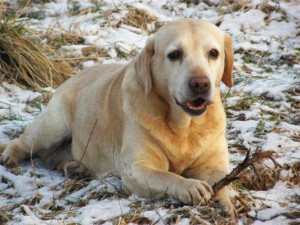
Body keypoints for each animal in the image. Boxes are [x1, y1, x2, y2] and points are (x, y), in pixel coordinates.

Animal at [0, 18, 234, 216]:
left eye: (214, 53)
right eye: (174, 54)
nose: (200, 83)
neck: (184, 127)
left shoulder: (214, 165)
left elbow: (223, 180)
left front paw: (225, 203)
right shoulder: (137, 170)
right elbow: (167, 175)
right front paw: (189, 185)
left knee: (52, 157)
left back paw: (73, 167)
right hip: (53, 125)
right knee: (23, 142)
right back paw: (10, 156)